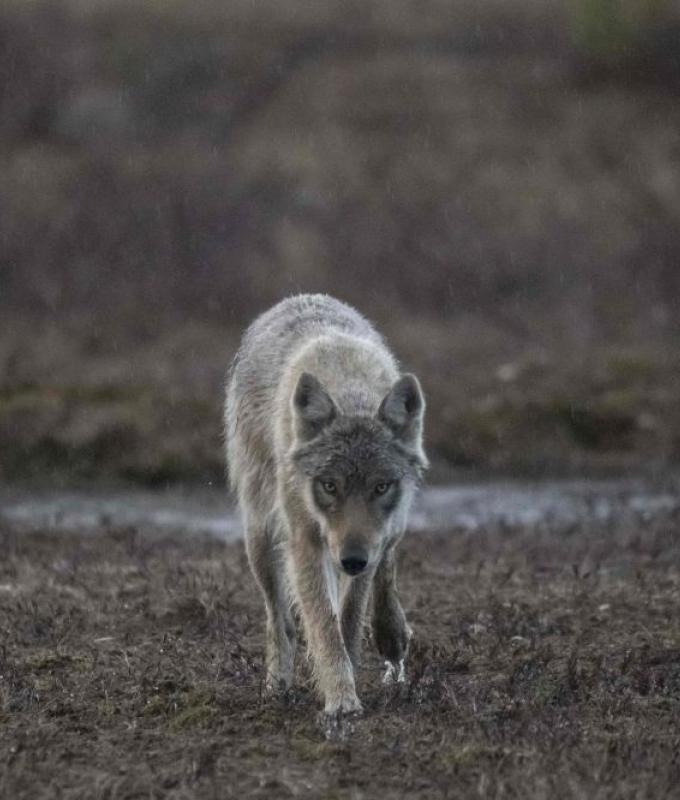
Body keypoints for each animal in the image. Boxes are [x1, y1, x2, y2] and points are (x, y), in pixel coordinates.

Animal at [225, 294, 427, 715]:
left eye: (381, 486)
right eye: (329, 485)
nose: (351, 560)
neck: (349, 387)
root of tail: (298, 298)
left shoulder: (372, 542)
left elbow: (349, 617)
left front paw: (360, 661)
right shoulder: (306, 542)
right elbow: (322, 624)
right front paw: (341, 700)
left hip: (387, 530)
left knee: (385, 565)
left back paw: (392, 635)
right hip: (261, 538)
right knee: (280, 620)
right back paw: (277, 686)